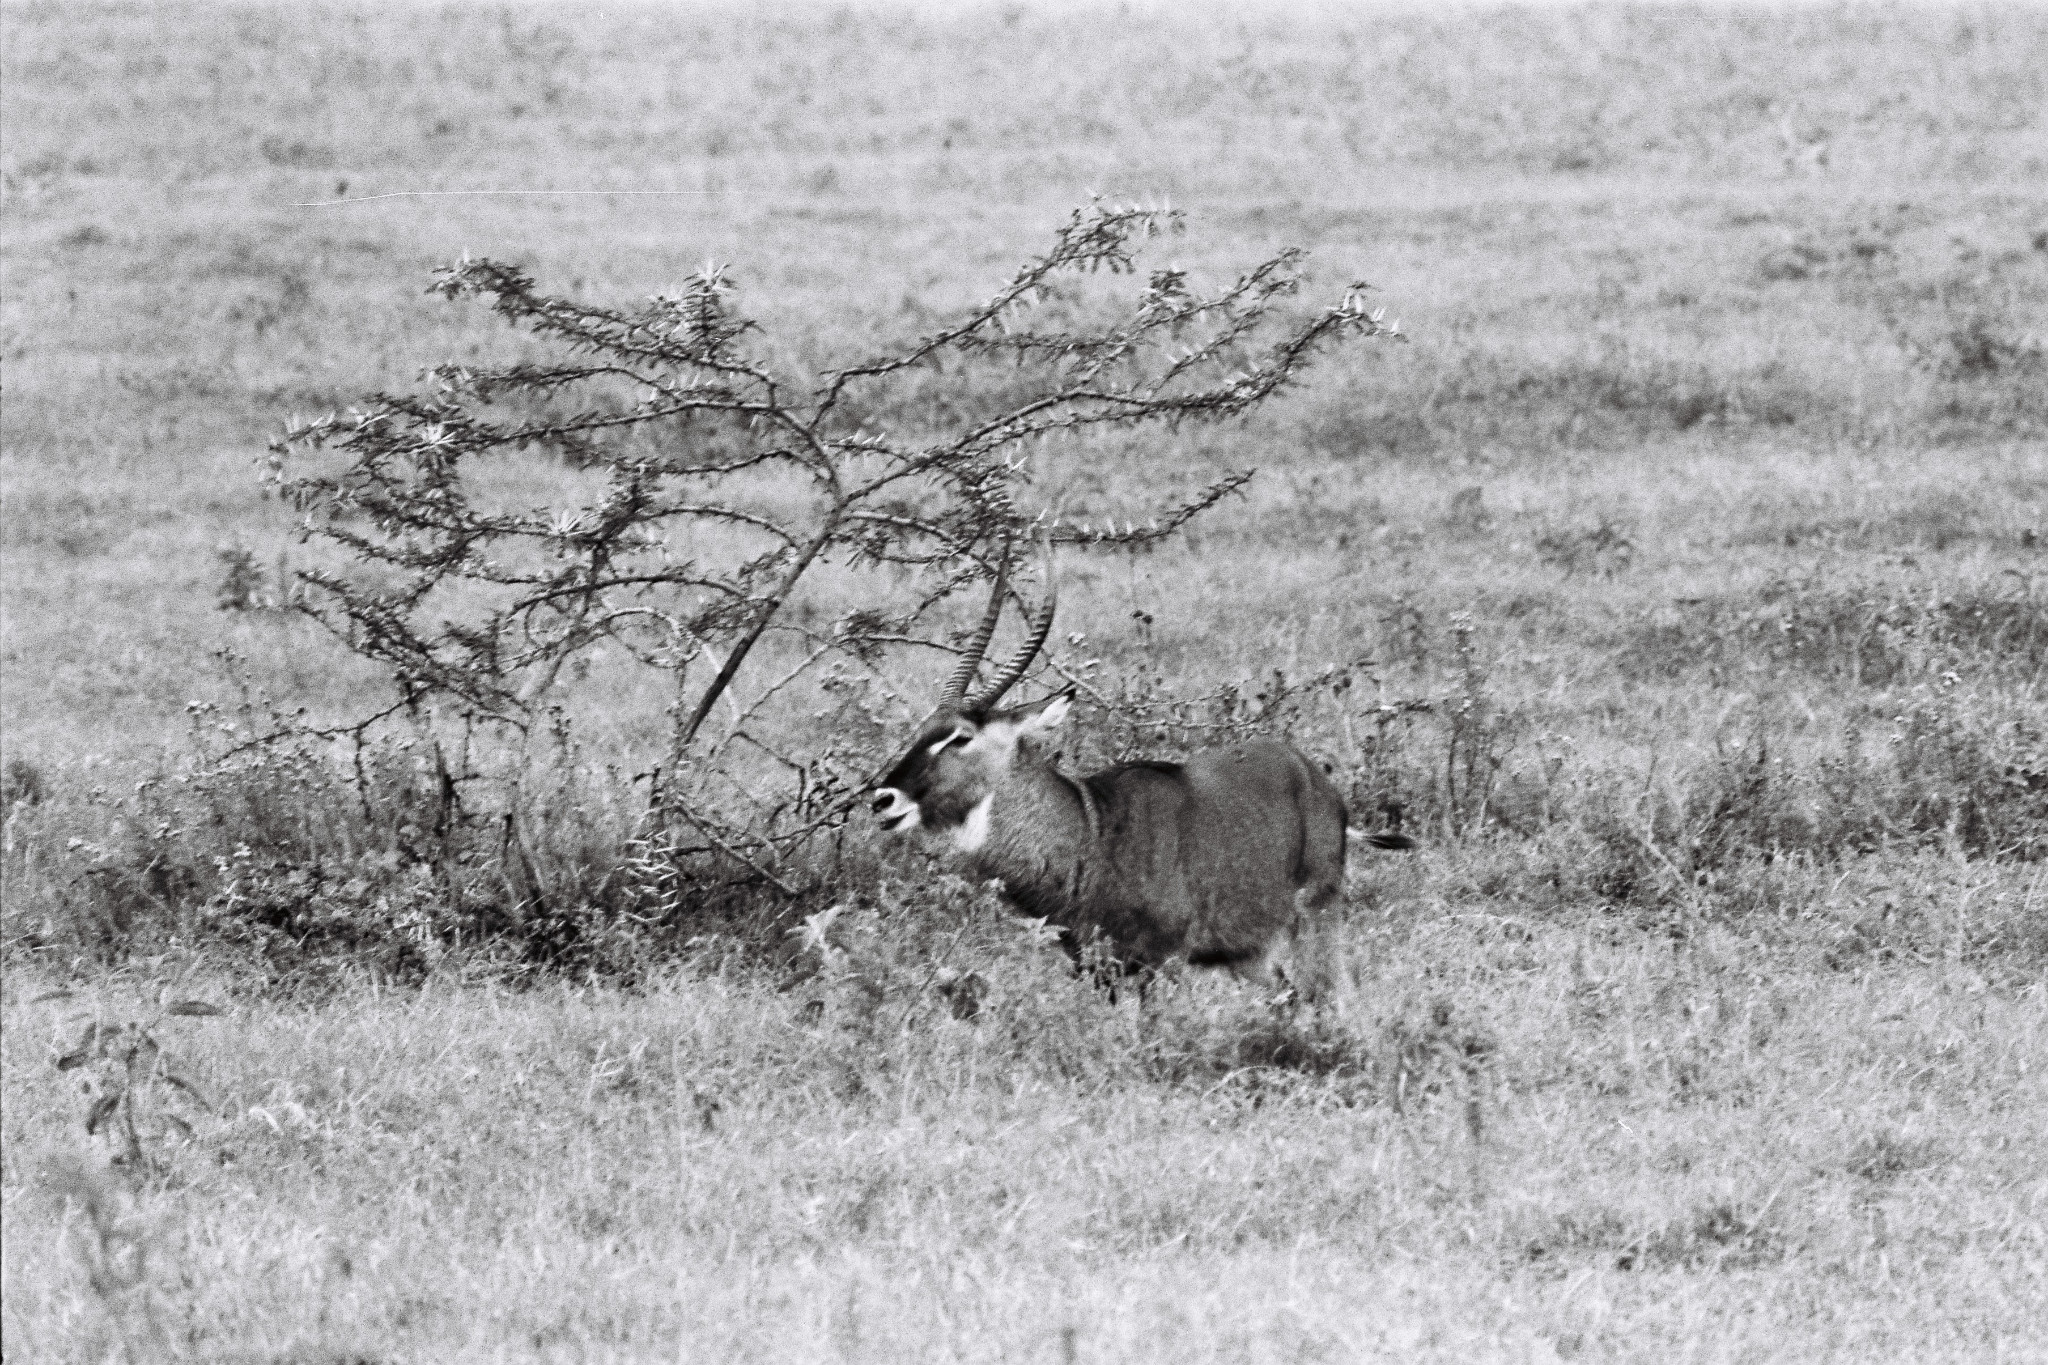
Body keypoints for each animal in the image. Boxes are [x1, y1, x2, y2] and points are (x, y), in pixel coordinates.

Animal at [872, 544, 1417, 1002]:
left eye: (960, 737)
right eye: (922, 729)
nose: (883, 799)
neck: (1090, 830)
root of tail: (1315, 778)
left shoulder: (1161, 963)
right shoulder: (1094, 967)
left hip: (1315, 922)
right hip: (1252, 955)